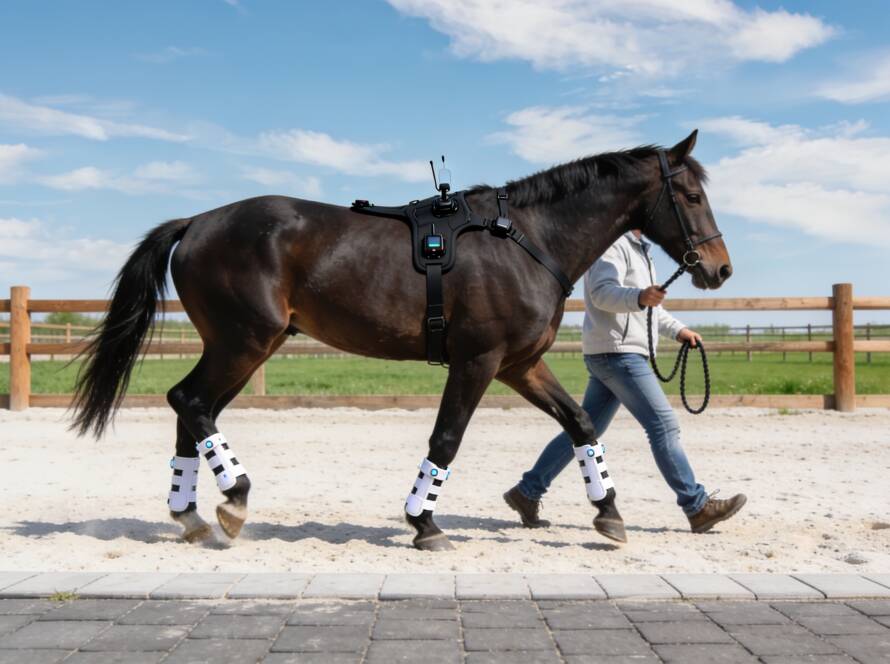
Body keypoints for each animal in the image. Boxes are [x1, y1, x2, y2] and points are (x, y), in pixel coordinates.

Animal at [70, 130, 731, 551]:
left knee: (191, 409)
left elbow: (580, 424)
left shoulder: (520, 365)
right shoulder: (478, 362)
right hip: (243, 343)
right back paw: (234, 498)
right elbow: (446, 439)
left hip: (243, 346)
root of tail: (197, 222)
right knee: (191, 402)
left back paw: (192, 516)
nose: (719, 269)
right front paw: (423, 523)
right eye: (692, 195)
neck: (524, 239)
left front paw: (610, 515)